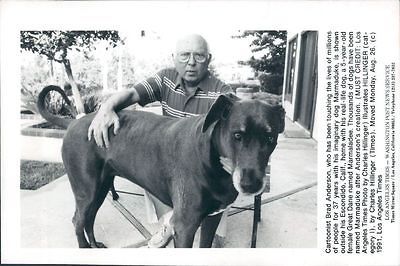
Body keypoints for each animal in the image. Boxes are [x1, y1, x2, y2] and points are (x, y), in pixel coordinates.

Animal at [37, 85, 284, 247]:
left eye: (270, 138)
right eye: (237, 135)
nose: (251, 185)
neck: (213, 160)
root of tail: (74, 122)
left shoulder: (212, 218)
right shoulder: (185, 227)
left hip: (101, 187)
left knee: (88, 219)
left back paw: (95, 245)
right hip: (86, 190)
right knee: (78, 220)